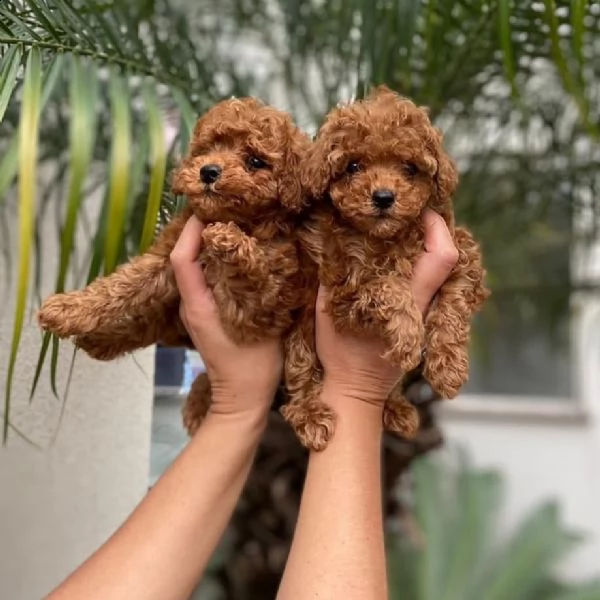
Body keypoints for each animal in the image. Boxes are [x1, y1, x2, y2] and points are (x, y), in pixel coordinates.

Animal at [38, 97, 310, 436]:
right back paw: (100, 341)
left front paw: (227, 239)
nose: (209, 171)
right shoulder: (166, 254)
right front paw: (68, 308)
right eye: (208, 148)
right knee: (150, 324)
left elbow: (251, 277)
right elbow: (122, 284)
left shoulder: (261, 310)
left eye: (255, 161)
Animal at [280, 84, 488, 450]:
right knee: (300, 374)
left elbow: (455, 300)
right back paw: (310, 416)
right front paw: (408, 335)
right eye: (353, 166)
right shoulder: (344, 288)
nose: (383, 197)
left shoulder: (461, 249)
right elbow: (385, 283)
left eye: (409, 168)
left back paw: (398, 409)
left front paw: (448, 368)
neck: (386, 237)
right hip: (301, 335)